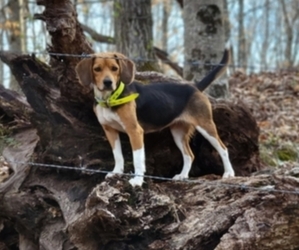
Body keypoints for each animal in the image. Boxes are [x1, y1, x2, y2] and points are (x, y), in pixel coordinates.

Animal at [75, 48, 234, 187]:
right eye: (97, 69)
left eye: (115, 68)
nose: (108, 82)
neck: (110, 99)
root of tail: (195, 87)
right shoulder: (110, 131)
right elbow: (118, 156)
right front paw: (116, 173)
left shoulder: (135, 131)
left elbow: (137, 159)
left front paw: (137, 181)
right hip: (178, 132)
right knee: (189, 155)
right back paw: (182, 176)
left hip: (206, 126)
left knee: (223, 149)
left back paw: (228, 174)